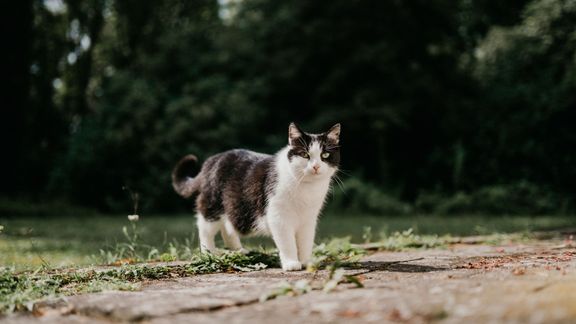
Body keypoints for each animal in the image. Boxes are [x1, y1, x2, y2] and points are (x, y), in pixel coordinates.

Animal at [173, 123, 340, 270]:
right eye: (305, 154)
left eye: (325, 155)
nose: (316, 166)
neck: (307, 187)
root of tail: (210, 161)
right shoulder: (278, 217)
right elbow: (287, 242)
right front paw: (291, 263)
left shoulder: (308, 219)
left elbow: (306, 242)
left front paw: (306, 262)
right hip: (212, 205)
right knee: (205, 229)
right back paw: (209, 253)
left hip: (232, 207)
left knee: (228, 228)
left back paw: (239, 251)